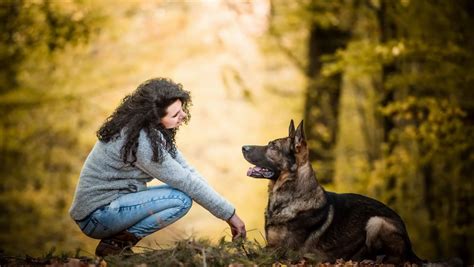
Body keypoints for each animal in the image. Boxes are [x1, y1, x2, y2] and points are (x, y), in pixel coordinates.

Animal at [243, 121, 424, 266]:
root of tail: (410, 246)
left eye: (272, 146)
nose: (243, 147)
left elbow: (252, 255)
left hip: (376, 222)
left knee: (395, 259)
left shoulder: (279, 251)